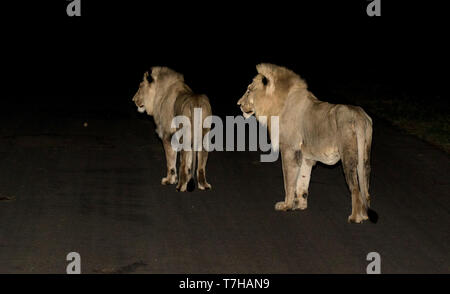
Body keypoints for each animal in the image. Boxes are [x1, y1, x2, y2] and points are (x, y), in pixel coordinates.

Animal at [237, 63, 374, 223]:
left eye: (249, 90)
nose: (238, 104)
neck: (277, 105)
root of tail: (359, 116)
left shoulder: (289, 149)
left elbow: (289, 180)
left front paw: (286, 205)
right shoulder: (305, 156)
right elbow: (302, 181)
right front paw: (300, 205)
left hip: (348, 157)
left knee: (355, 188)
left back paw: (355, 217)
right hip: (365, 157)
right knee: (366, 189)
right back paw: (365, 214)